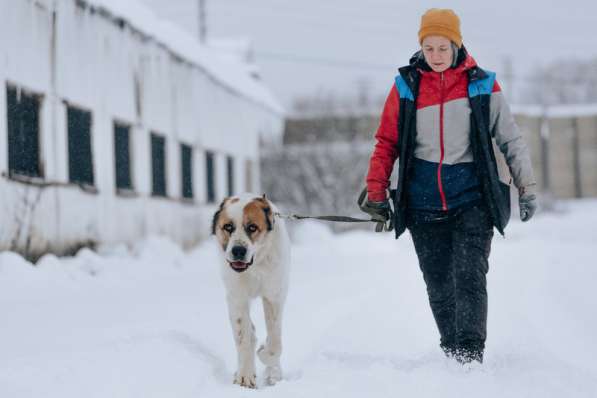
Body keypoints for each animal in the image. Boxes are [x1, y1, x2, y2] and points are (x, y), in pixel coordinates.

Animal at [212, 194, 292, 388]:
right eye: (228, 227)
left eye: (252, 227)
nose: (238, 250)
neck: (255, 267)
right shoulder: (237, 298)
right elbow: (244, 337)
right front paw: (245, 376)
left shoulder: (274, 295)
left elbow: (275, 342)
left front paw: (264, 354)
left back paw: (274, 374)